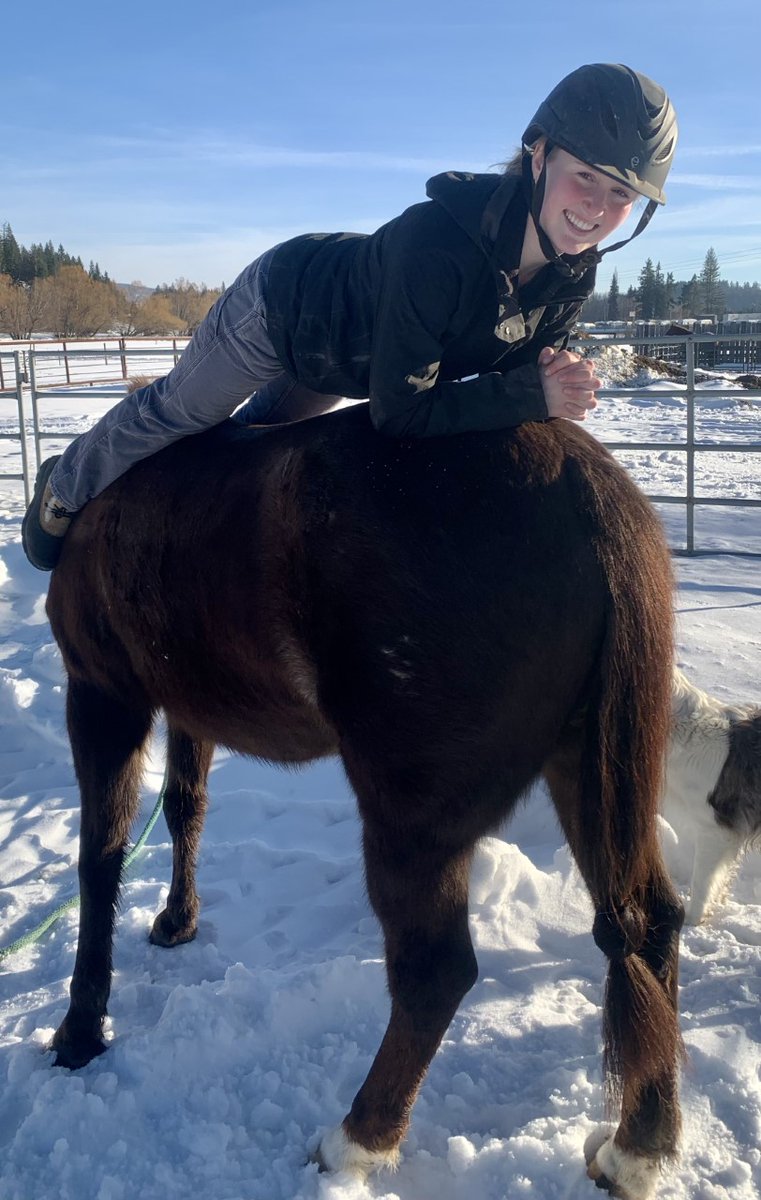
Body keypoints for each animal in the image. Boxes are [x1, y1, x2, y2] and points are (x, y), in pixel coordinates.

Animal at [45, 403, 683, 1199]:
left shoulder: (103, 695)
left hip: (412, 819)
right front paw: (176, 921)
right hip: (591, 771)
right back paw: (638, 1147)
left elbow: (98, 860)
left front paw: (81, 1027)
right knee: (648, 923)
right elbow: (186, 806)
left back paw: (359, 1138)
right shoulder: (187, 705)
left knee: (434, 971)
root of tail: (590, 493)